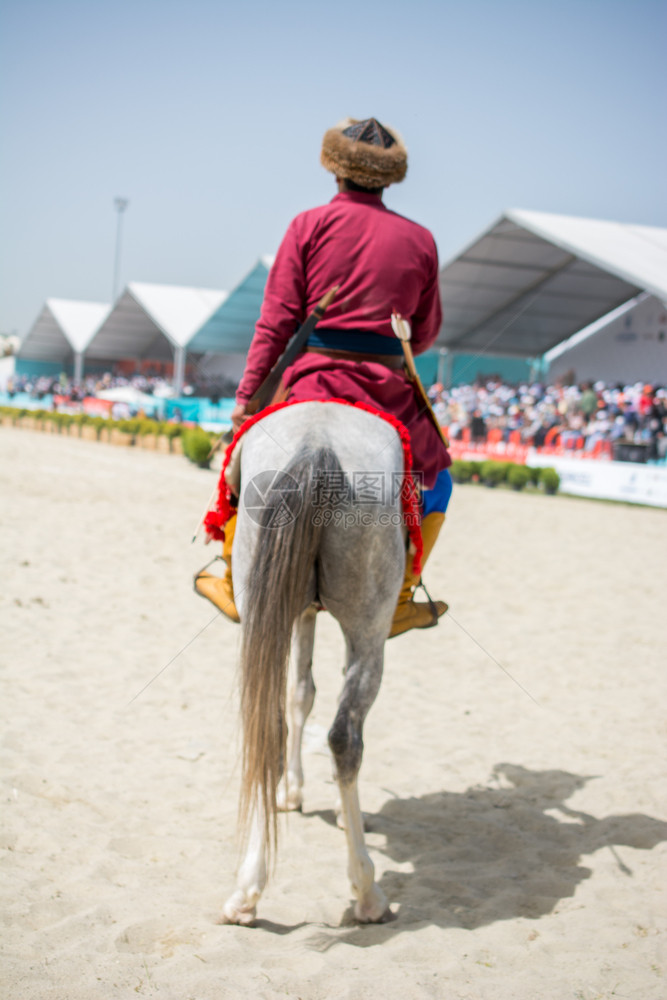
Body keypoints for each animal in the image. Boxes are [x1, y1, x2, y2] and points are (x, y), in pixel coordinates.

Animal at [220, 400, 408, 928]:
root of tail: (317, 445)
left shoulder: (298, 610)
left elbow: (298, 695)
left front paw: (291, 789)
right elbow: (310, 697)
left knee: (266, 726)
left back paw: (247, 890)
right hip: (370, 628)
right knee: (346, 736)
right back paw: (367, 891)